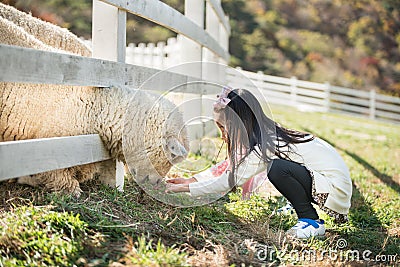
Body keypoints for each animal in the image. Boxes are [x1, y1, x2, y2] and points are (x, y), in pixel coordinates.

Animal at [0, 4, 189, 198]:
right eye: (172, 156)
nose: (156, 184)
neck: (95, 107)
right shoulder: (51, 148)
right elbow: (58, 174)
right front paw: (71, 191)